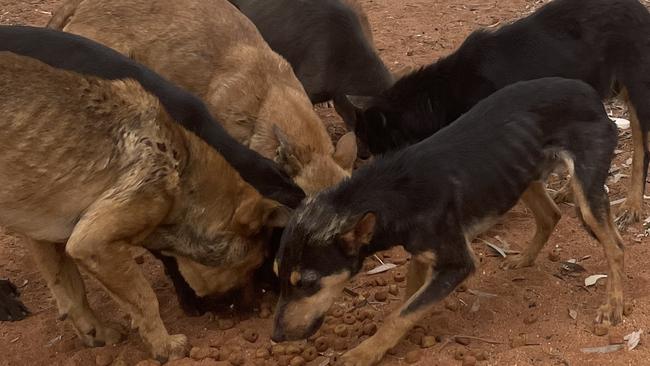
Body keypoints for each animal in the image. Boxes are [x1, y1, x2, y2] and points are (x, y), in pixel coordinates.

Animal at [0, 53, 288, 362]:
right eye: (255, 264)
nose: (254, 312)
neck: (183, 171)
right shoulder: (92, 243)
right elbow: (145, 298)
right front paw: (164, 346)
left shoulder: (45, 235)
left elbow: (72, 292)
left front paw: (96, 333)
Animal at [270, 77, 620, 366]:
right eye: (278, 276)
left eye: (308, 283)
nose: (275, 337)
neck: (393, 195)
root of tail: (589, 92)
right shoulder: (422, 255)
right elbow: (406, 303)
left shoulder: (457, 264)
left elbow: (400, 315)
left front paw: (364, 353)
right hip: (521, 175)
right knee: (552, 215)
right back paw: (522, 260)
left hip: (584, 194)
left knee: (615, 245)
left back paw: (613, 305)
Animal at [350, 0, 648, 227]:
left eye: (371, 141)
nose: (361, 156)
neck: (441, 92)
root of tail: (639, 9)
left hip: (636, 91)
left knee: (640, 148)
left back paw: (632, 204)